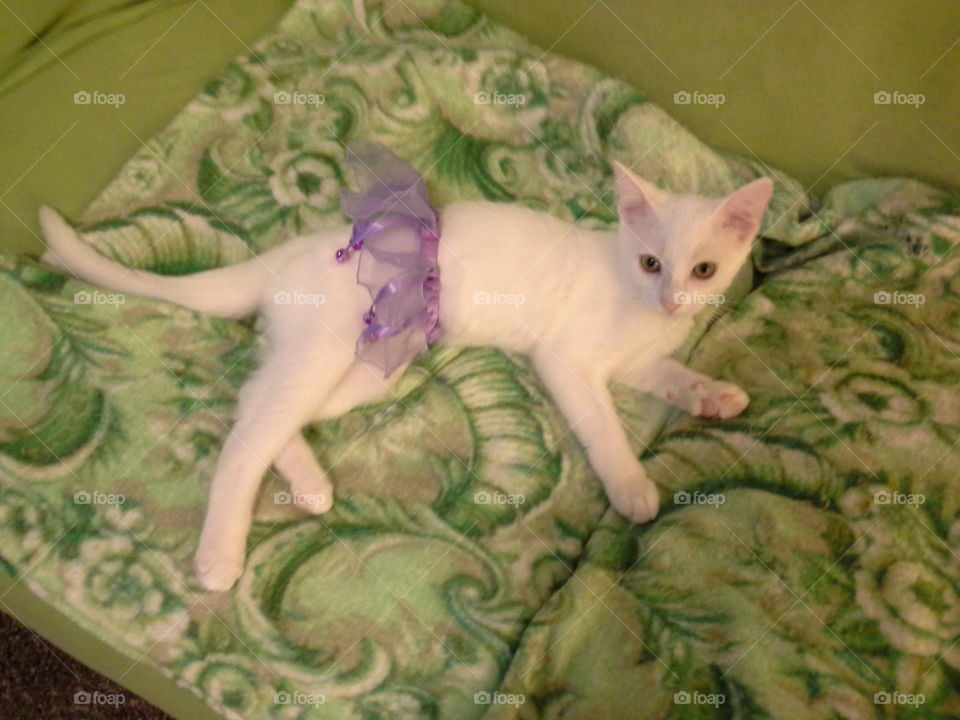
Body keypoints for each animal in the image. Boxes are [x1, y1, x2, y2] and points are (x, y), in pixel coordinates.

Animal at [39, 163, 772, 592]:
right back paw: (220, 554)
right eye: (651, 262)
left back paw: (309, 483)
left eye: (703, 270)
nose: (672, 300)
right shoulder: (567, 362)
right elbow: (605, 428)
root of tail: (288, 255)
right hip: (326, 348)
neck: (630, 298)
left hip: (371, 364)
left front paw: (713, 393)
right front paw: (633, 486)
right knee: (248, 435)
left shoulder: (642, 358)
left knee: (266, 408)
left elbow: (671, 374)